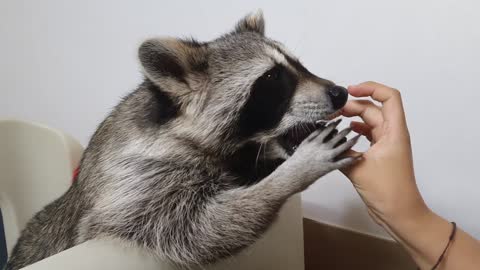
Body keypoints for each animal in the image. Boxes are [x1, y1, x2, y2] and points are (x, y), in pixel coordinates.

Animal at [6, 11, 360, 270]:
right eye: (272, 79)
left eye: (299, 65)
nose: (339, 92)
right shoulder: (135, 180)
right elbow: (194, 231)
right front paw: (291, 175)